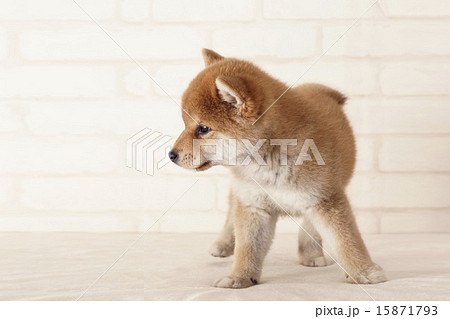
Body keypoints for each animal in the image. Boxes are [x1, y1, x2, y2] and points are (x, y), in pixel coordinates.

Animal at [170, 48, 386, 288]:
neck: (268, 161)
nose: (171, 155)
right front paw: (239, 277)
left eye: (203, 129)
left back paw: (311, 253)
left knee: (309, 226)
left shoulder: (326, 199)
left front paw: (364, 272)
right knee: (230, 216)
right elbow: (247, 248)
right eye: (185, 125)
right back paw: (223, 244)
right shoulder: (253, 206)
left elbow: (346, 241)